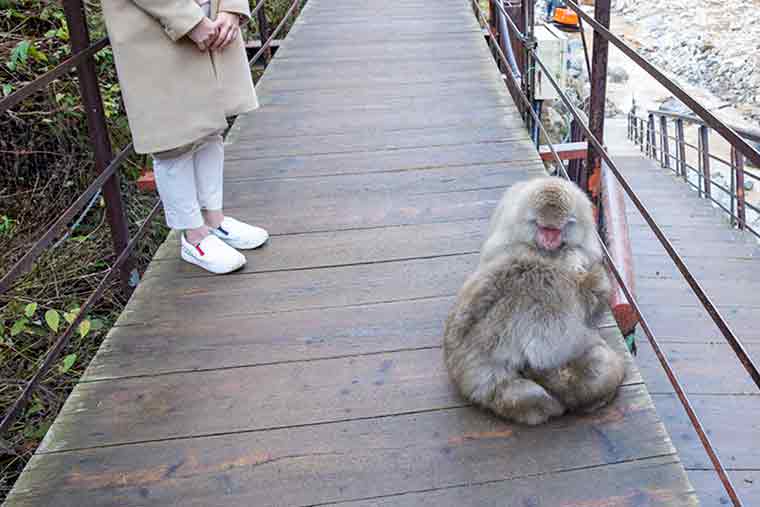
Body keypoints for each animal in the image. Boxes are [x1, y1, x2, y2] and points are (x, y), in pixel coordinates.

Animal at [443, 176, 625, 425]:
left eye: (555, 230)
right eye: (543, 228)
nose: (549, 240)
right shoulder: (557, 306)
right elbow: (547, 351)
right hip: (484, 382)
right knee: (528, 394)